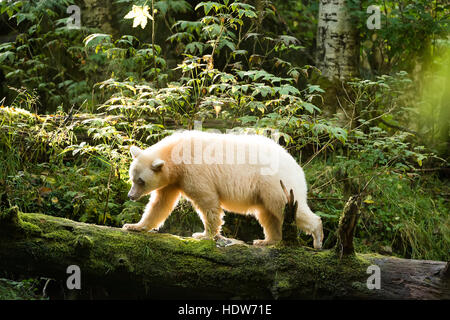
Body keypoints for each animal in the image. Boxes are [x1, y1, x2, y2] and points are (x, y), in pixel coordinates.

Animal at [122, 130, 324, 248]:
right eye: (132, 178)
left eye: (141, 181)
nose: (131, 195)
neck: (176, 154)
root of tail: (296, 165)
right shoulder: (173, 181)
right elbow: (160, 204)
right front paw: (134, 226)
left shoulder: (195, 171)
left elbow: (207, 201)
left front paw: (204, 235)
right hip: (266, 189)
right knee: (268, 214)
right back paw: (267, 240)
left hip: (275, 182)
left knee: (284, 207)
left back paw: (317, 238)